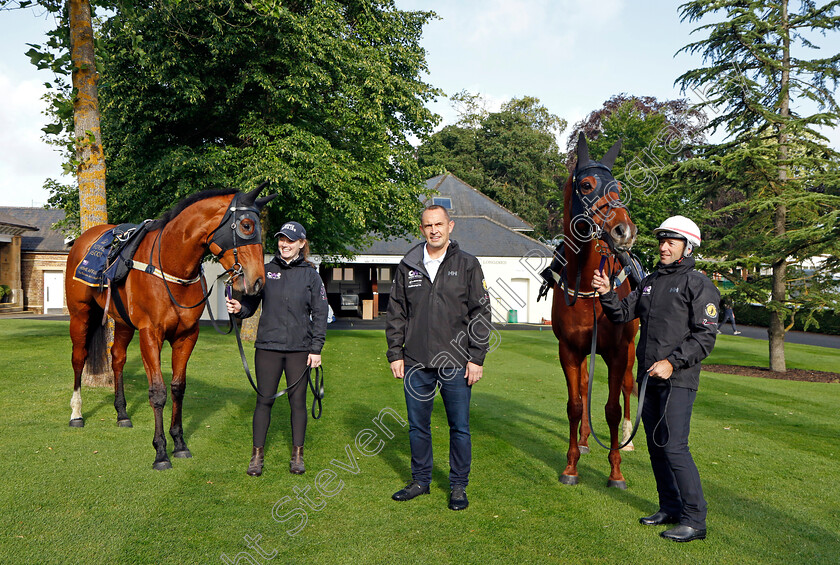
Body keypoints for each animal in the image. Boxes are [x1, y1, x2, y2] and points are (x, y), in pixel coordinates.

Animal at [66, 183, 276, 470]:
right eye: (246, 225)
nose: (257, 282)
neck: (170, 263)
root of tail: (84, 238)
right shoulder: (150, 334)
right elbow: (158, 392)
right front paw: (161, 452)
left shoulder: (186, 336)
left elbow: (178, 388)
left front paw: (179, 443)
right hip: (80, 314)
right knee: (79, 358)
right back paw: (76, 413)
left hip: (123, 322)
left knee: (117, 358)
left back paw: (122, 413)